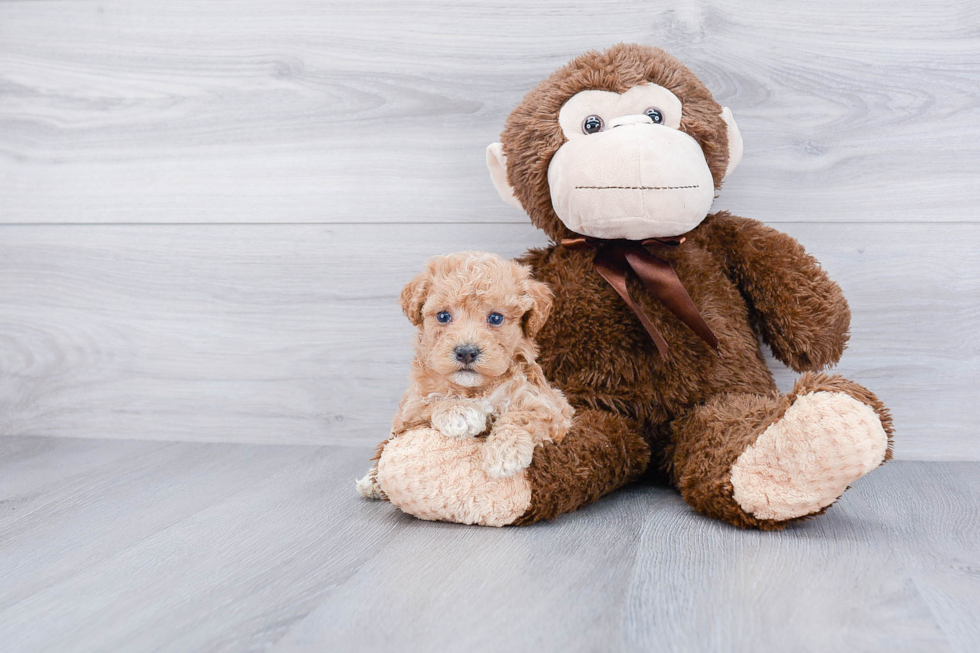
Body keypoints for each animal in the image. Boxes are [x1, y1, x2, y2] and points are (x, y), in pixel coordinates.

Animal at [358, 251, 576, 500]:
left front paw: (504, 452)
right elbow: (431, 401)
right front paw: (460, 412)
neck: (475, 389)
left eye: (496, 318)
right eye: (443, 316)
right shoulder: (408, 412)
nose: (466, 352)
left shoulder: (553, 407)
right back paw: (372, 481)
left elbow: (521, 416)